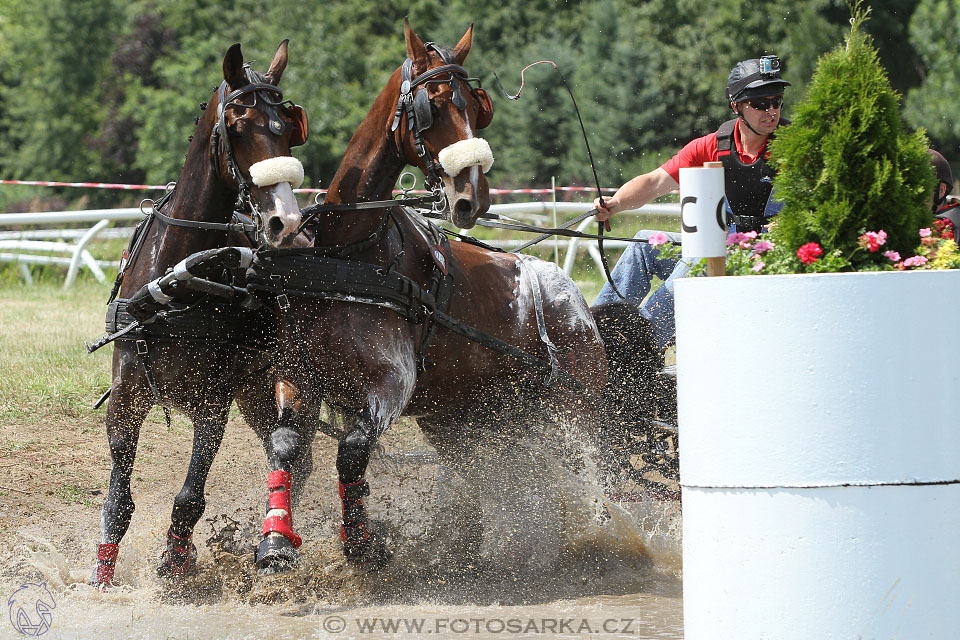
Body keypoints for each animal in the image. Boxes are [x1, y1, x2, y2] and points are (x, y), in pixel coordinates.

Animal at [92, 42, 310, 588]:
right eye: (239, 124)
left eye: (287, 126)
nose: (286, 223)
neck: (178, 280)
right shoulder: (127, 395)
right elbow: (119, 501)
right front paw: (102, 576)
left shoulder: (213, 401)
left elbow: (190, 496)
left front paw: (176, 560)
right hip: (254, 392)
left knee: (290, 447)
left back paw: (277, 539)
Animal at [249, 20, 608, 572]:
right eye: (432, 106)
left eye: (477, 107)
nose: (471, 197)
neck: (351, 257)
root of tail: (573, 297)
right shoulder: (299, 374)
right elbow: (286, 446)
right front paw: (274, 542)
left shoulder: (391, 384)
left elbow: (352, 450)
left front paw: (362, 542)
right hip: (467, 416)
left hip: (578, 410)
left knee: (597, 477)